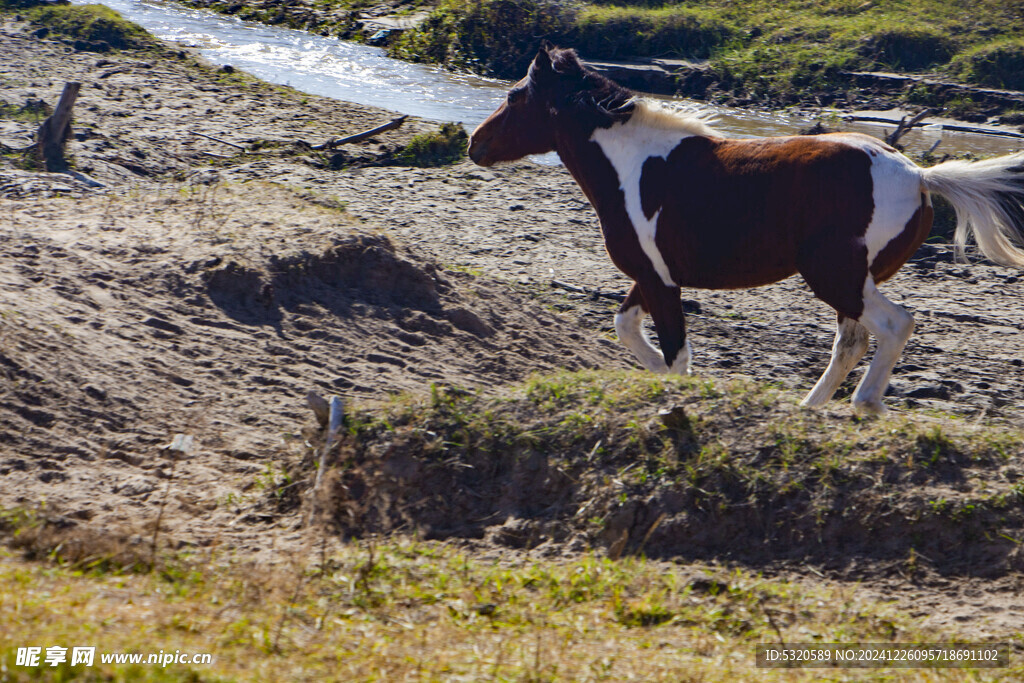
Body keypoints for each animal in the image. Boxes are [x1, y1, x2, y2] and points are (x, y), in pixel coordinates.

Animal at [468, 46, 1024, 417]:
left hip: (834, 275)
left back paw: (865, 404)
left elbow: (676, 354)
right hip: (854, 280)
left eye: (514, 97)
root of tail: (918, 175)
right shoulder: (652, 275)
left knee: (894, 325)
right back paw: (809, 409)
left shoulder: (659, 282)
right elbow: (626, 328)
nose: (475, 144)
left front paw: (681, 395)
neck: (633, 167)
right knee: (852, 342)